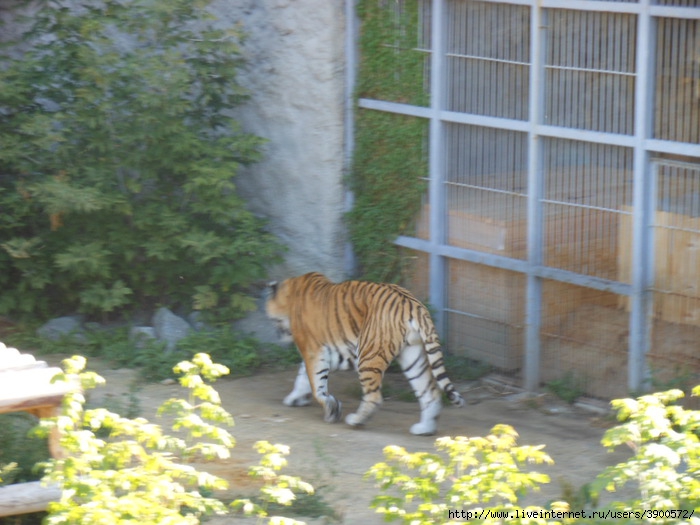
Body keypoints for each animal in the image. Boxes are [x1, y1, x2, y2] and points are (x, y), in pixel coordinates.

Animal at [266, 270, 464, 434]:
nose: (276, 335)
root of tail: (413, 304)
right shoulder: (321, 351)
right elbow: (303, 377)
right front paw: (294, 398)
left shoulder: (314, 350)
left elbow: (316, 384)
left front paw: (331, 409)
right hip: (413, 358)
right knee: (430, 393)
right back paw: (424, 429)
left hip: (368, 355)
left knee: (374, 396)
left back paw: (356, 420)